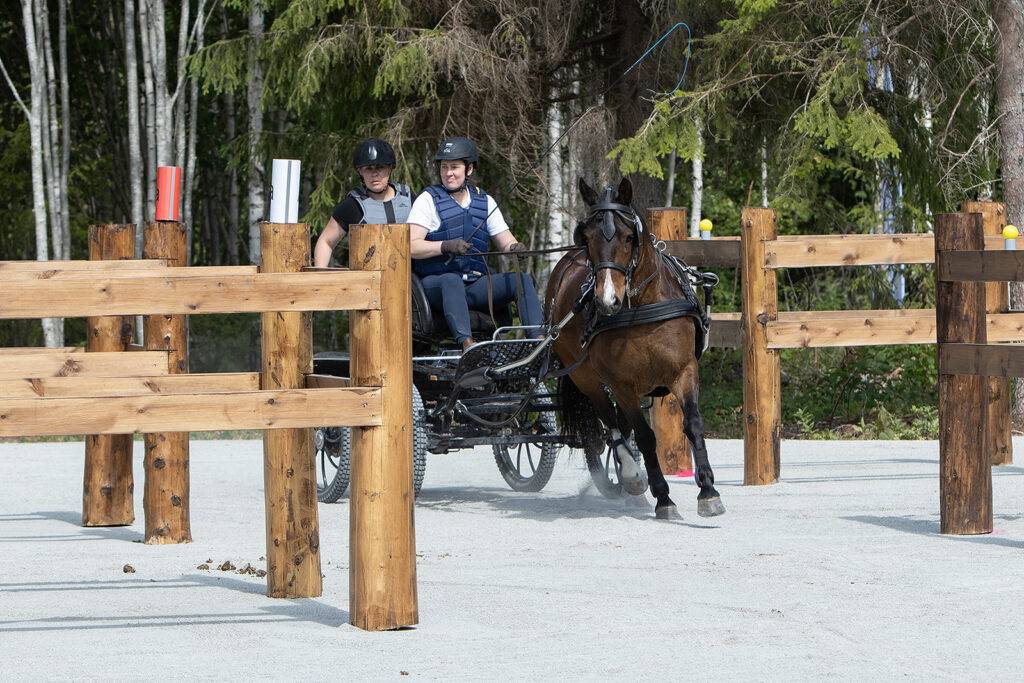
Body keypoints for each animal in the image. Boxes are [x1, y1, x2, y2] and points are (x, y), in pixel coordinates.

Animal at [548, 179, 724, 520]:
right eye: (587, 238)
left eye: (629, 236)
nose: (606, 301)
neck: (642, 309)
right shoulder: (622, 385)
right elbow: (644, 437)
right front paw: (663, 497)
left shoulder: (684, 371)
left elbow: (693, 425)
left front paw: (708, 491)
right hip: (587, 379)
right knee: (612, 424)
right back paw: (632, 477)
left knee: (620, 426)